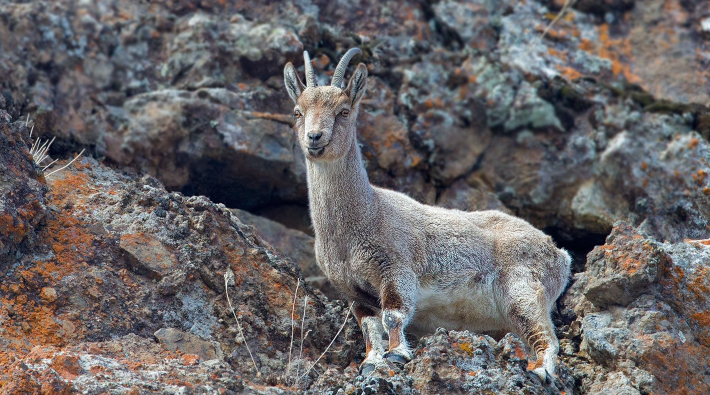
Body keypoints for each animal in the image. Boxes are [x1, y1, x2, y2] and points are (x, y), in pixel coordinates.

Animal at [284, 48, 572, 382]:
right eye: (297, 112)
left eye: (343, 111)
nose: (315, 138)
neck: (366, 213)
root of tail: (559, 254)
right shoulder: (353, 293)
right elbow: (370, 327)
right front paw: (371, 362)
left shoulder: (395, 269)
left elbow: (393, 315)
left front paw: (397, 354)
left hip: (524, 289)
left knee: (547, 337)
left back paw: (540, 371)